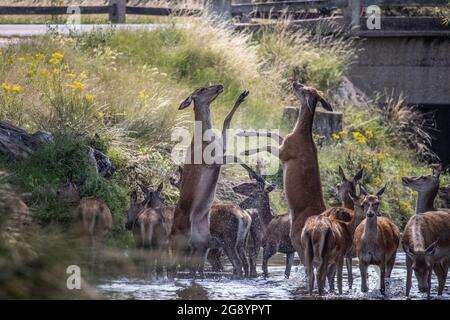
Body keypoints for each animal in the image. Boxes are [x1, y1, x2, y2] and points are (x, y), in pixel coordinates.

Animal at [171, 85, 251, 278]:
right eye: (201, 89)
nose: (220, 86)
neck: (205, 138)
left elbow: (226, 123)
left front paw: (242, 96)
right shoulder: (213, 160)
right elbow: (234, 155)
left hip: (202, 245)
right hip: (180, 242)